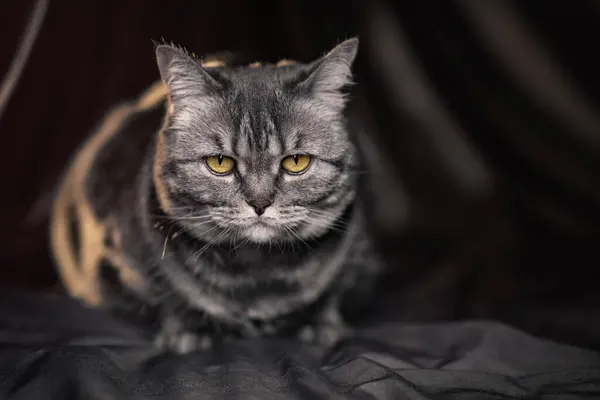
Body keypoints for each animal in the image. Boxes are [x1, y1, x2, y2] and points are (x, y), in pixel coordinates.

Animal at [49, 37, 382, 354]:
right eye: (219, 163)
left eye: (296, 162)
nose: (260, 203)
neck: (255, 272)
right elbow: (169, 297)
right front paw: (186, 333)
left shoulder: (355, 255)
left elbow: (332, 295)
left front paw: (323, 327)